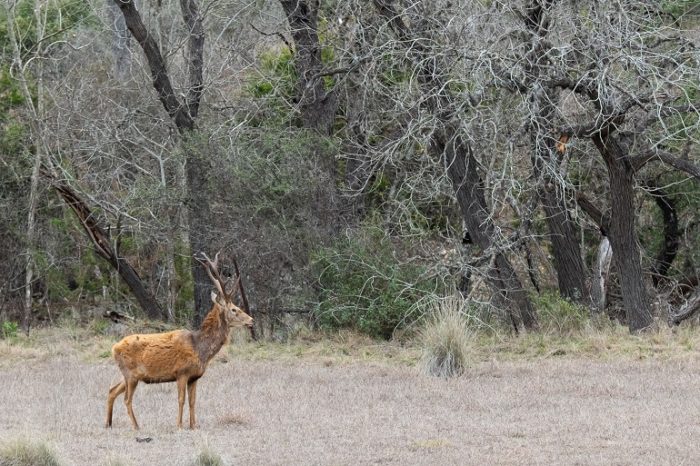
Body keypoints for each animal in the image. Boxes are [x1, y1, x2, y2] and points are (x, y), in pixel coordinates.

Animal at [105, 251, 253, 430]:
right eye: (234, 309)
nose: (251, 320)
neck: (200, 349)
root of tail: (113, 348)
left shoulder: (194, 377)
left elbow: (193, 402)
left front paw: (194, 425)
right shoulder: (181, 372)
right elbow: (181, 400)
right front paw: (179, 425)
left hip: (126, 374)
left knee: (111, 390)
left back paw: (108, 423)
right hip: (130, 374)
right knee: (127, 399)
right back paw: (136, 426)